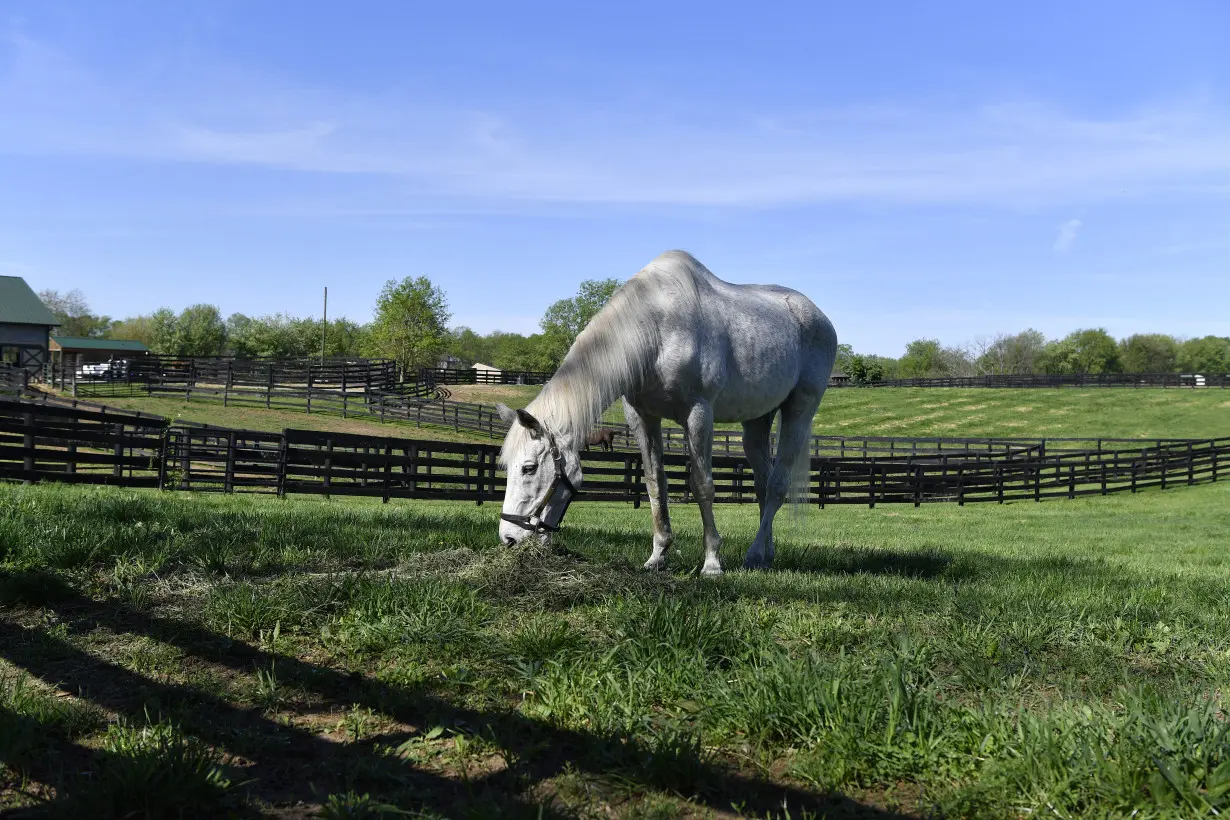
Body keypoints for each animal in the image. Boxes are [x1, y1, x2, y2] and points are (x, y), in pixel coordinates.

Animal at [494, 250, 841, 577]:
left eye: (528, 468)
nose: (509, 538)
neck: (657, 329)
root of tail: (818, 317)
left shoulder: (698, 415)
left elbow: (702, 485)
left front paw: (712, 562)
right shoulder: (642, 418)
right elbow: (654, 484)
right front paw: (658, 556)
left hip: (799, 412)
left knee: (778, 485)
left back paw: (755, 554)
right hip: (756, 422)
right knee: (763, 485)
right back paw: (766, 555)